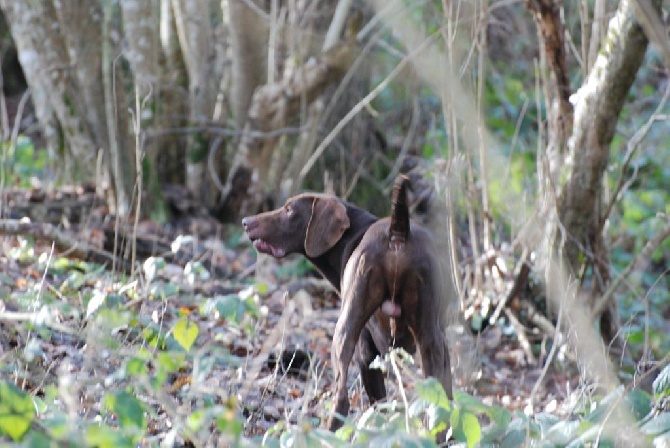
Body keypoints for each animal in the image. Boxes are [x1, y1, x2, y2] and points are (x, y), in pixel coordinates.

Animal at [240, 177, 452, 432]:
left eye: (289, 210)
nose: (246, 222)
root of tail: (397, 233)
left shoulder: (366, 351)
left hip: (345, 330)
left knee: (341, 400)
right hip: (429, 339)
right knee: (436, 405)